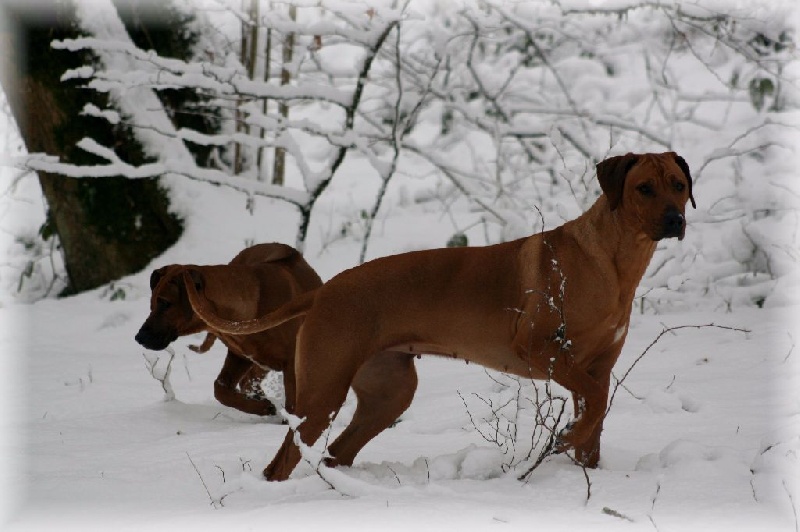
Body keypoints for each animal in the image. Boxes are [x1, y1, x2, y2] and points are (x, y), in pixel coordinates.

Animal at [133, 243, 320, 418]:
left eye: (165, 303)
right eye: (152, 304)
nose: (139, 337)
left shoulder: (292, 362)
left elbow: (294, 404)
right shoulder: (239, 355)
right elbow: (219, 388)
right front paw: (262, 406)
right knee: (247, 381)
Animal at [181, 152, 692, 480]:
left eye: (679, 185)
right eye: (643, 188)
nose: (675, 220)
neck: (610, 260)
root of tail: (325, 289)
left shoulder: (598, 366)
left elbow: (597, 410)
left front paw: (583, 466)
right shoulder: (541, 350)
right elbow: (594, 404)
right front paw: (565, 439)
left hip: (389, 393)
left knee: (334, 454)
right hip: (323, 392)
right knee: (282, 462)